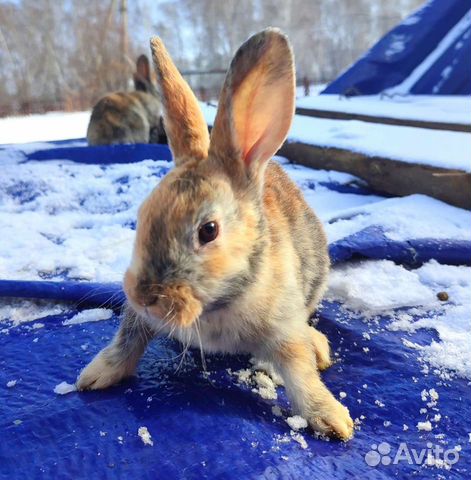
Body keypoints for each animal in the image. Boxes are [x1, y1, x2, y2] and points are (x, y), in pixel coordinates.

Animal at [78, 28, 354, 440]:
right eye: (142, 214)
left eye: (208, 231)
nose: (145, 296)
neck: (218, 304)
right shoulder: (138, 320)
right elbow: (127, 342)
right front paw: (94, 376)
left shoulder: (285, 330)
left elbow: (300, 372)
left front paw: (332, 420)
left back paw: (317, 346)